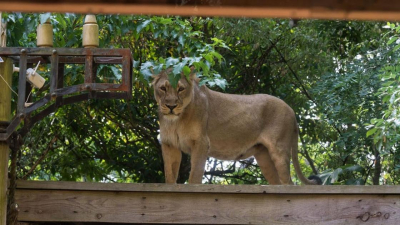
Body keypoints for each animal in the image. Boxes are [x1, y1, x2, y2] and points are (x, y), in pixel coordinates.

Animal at [152, 70, 320, 185]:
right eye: (163, 88)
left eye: (180, 89)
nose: (171, 106)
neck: (176, 121)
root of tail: (291, 110)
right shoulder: (169, 144)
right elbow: (170, 175)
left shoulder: (201, 143)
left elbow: (194, 175)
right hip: (263, 156)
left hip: (279, 150)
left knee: (288, 184)